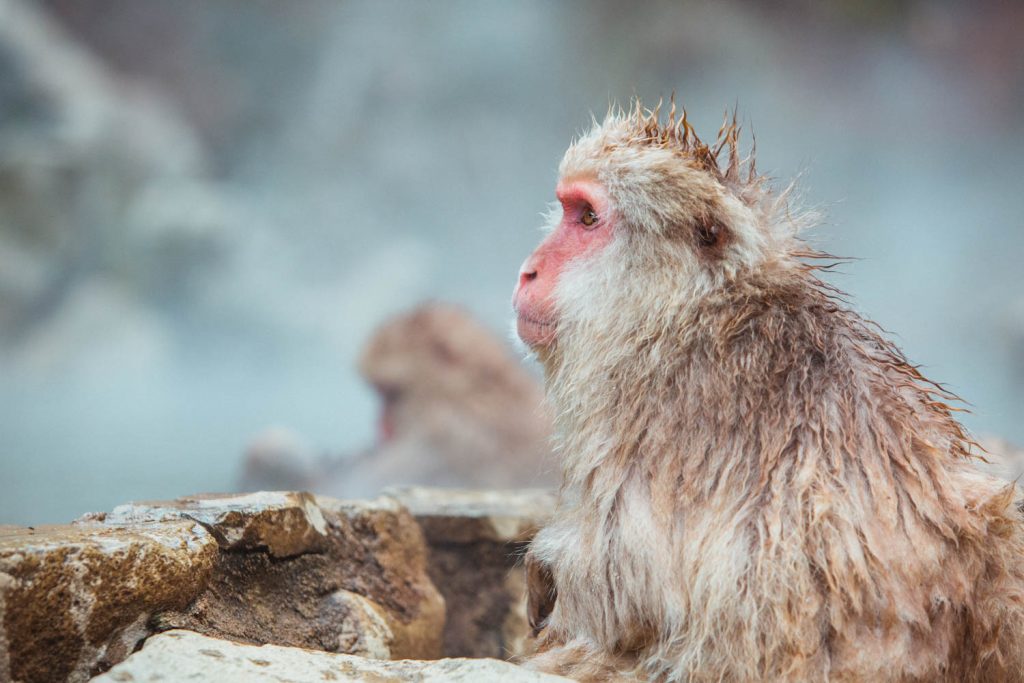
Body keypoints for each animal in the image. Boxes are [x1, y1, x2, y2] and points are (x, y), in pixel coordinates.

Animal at [516, 101, 1024, 683]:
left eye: (587, 218)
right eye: (567, 208)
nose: (528, 271)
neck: (685, 309)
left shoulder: (652, 402)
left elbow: (618, 586)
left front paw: (547, 571)